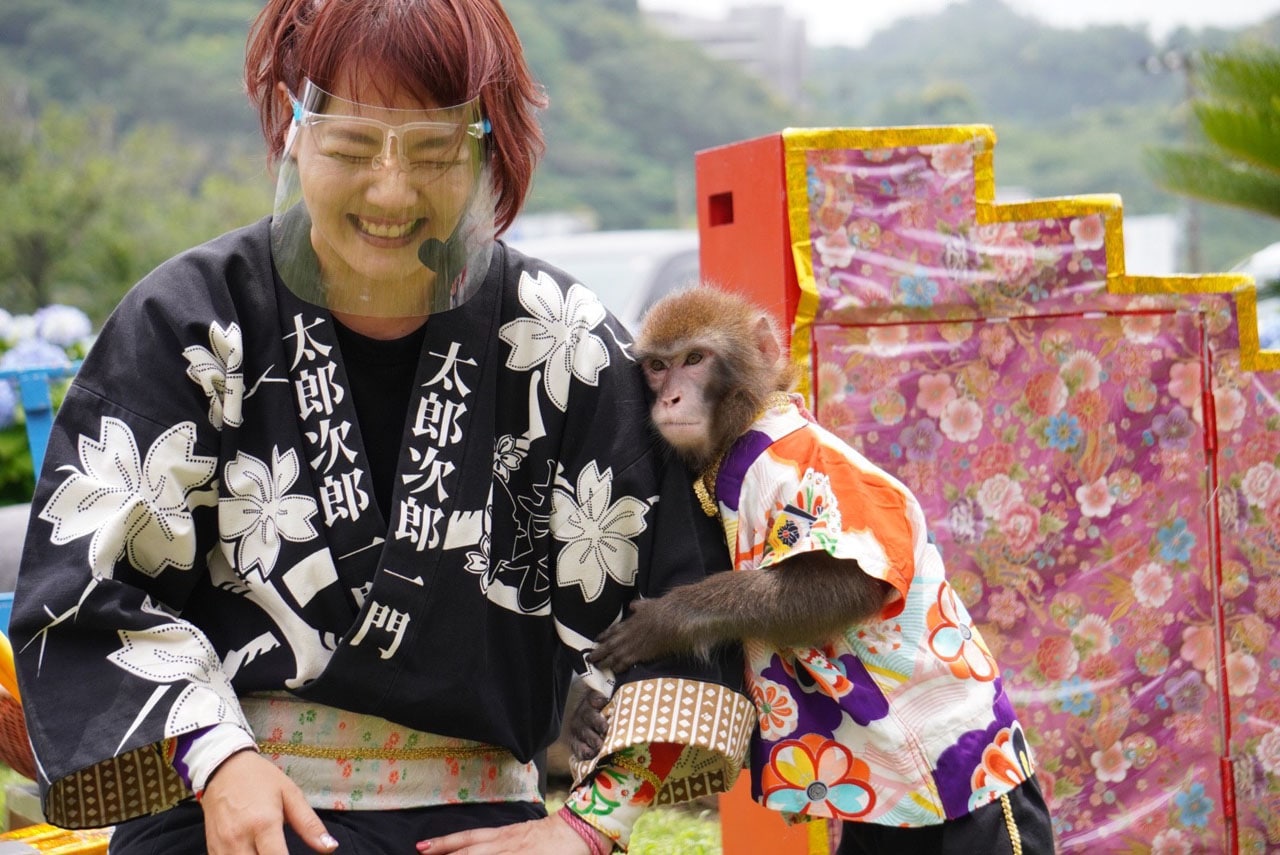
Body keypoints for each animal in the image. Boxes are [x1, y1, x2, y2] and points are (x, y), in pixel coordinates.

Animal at [574, 286, 1054, 854]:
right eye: (656, 366)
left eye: (694, 360)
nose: (668, 398)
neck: (751, 418)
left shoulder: (797, 470)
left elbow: (842, 586)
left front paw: (665, 623)